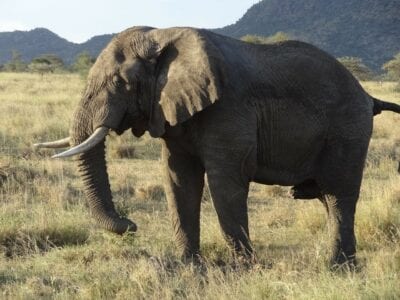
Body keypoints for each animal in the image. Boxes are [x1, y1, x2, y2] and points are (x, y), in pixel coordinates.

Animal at [35, 27, 400, 268]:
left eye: (120, 82)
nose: (130, 225)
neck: (162, 37)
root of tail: (367, 96)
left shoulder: (228, 109)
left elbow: (225, 182)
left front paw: (244, 268)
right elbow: (178, 179)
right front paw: (188, 265)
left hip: (348, 130)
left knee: (339, 195)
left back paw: (338, 267)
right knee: (328, 197)